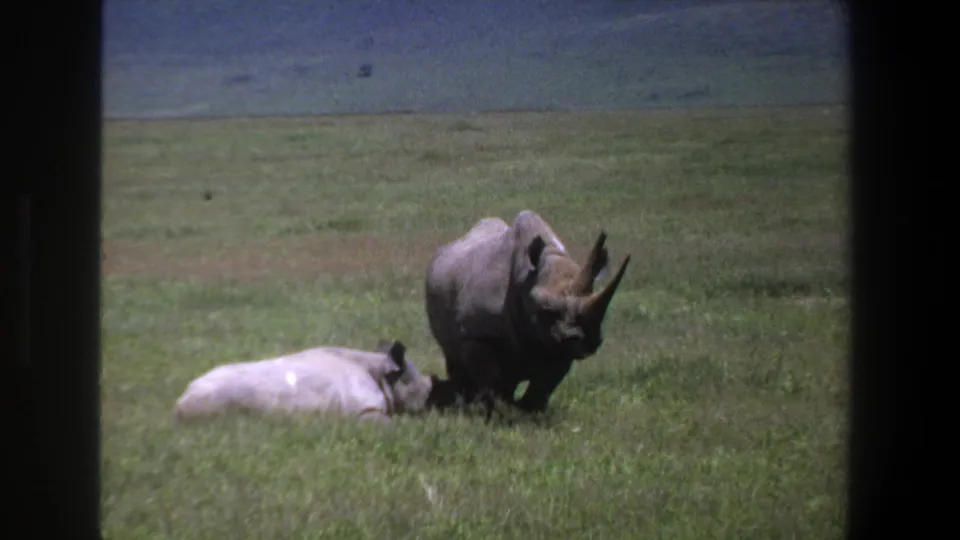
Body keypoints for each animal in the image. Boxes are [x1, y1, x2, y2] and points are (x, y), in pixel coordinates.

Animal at [425, 210, 630, 419]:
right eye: (546, 311)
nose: (582, 340)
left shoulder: (557, 343)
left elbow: (544, 384)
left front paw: (530, 416)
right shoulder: (477, 334)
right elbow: (492, 378)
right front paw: (501, 416)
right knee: (455, 357)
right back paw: (466, 406)